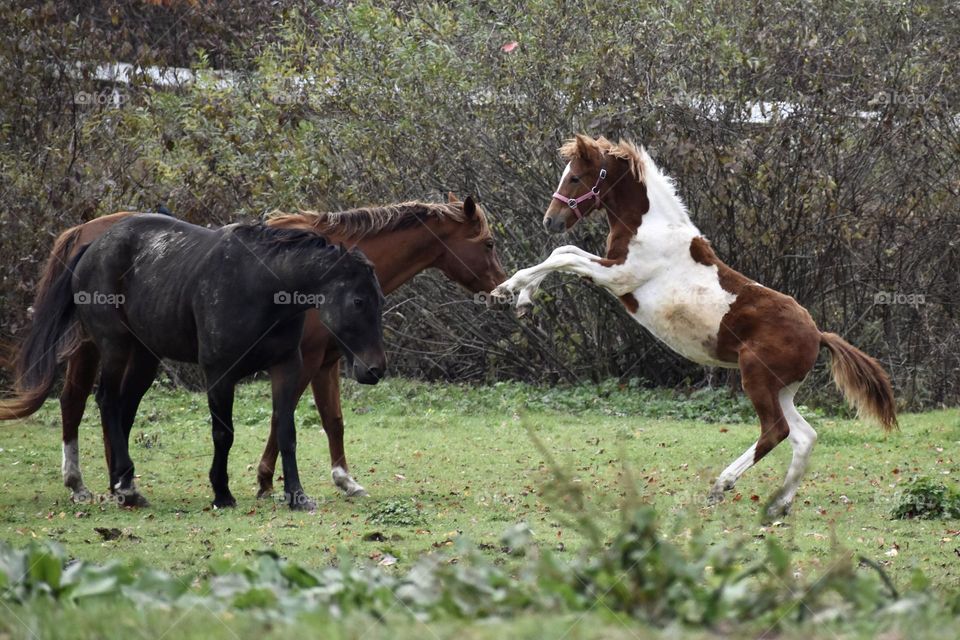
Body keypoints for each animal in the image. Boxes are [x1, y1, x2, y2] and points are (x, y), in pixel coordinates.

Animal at [1, 194, 505, 503]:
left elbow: (331, 421)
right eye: (488, 242)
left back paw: (118, 479)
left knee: (113, 407)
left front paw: (344, 480)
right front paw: (266, 479)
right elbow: (282, 421)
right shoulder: (302, 363)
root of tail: (87, 233)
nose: (501, 291)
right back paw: (82, 482)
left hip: (139, 353)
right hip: (101, 348)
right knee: (78, 403)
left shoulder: (325, 363)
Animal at [492, 134, 897, 518]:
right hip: (782, 389)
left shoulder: (619, 276)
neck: (650, 227)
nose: (551, 220)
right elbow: (564, 253)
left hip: (756, 379)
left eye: (576, 177)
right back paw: (778, 505)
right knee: (804, 436)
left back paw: (721, 486)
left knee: (776, 431)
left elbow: (563, 257)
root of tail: (818, 334)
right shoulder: (611, 269)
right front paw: (524, 300)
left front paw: (507, 289)